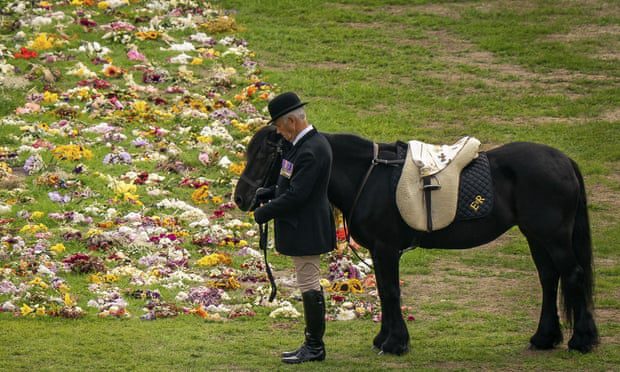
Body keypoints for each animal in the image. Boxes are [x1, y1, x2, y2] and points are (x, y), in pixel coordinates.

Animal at [235, 127, 600, 354]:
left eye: (265, 153)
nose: (242, 198)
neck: (368, 176)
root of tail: (563, 161)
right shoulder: (380, 250)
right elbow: (386, 292)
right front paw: (384, 339)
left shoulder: (385, 248)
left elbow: (390, 291)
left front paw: (395, 343)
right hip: (537, 236)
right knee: (549, 278)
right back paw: (545, 337)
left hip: (553, 237)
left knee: (573, 275)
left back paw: (582, 340)